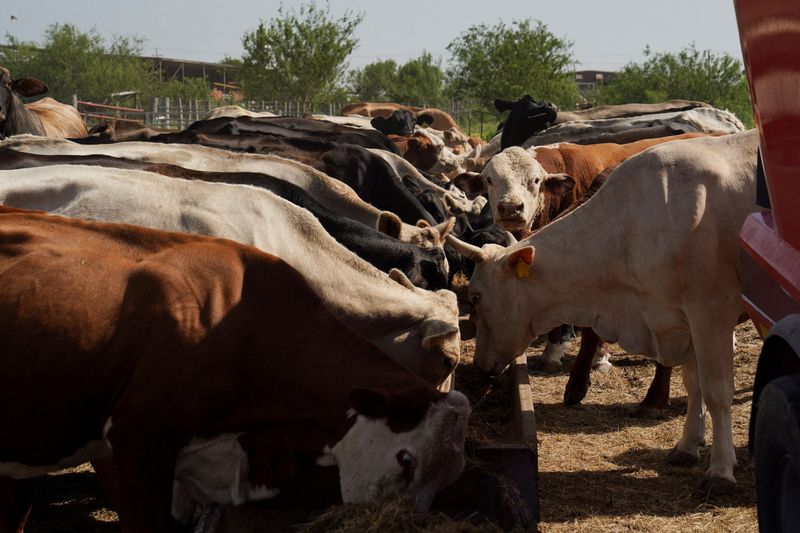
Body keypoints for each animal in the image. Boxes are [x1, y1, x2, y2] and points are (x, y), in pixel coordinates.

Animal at [447, 130, 760, 494]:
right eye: (488, 180)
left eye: (476, 297)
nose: (479, 365)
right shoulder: (679, 320)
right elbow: (694, 385)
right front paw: (687, 446)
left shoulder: (710, 314)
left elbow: (717, 392)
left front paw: (721, 469)